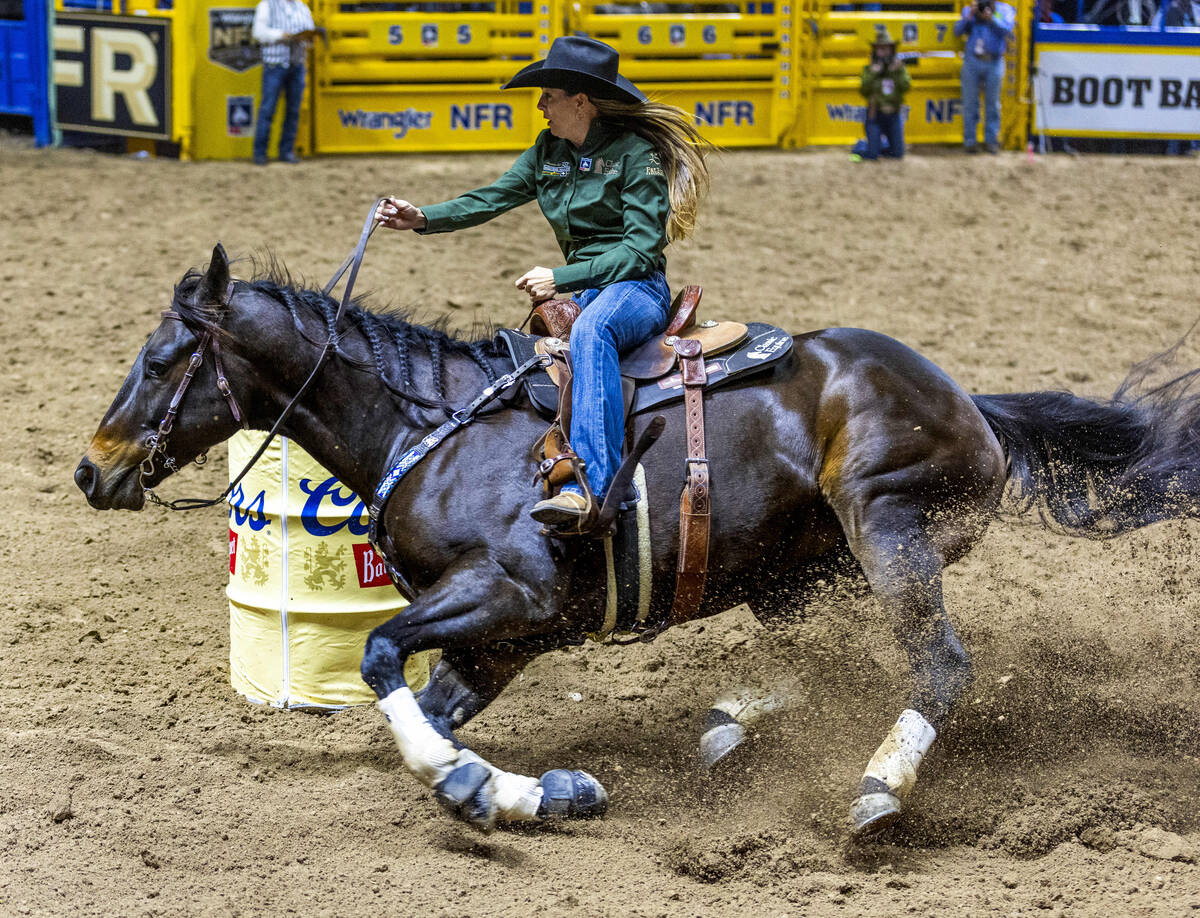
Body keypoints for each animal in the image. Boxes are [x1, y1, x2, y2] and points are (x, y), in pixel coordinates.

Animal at [72, 247, 1200, 835]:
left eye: (164, 357)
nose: (91, 468)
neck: (432, 426)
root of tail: (975, 405)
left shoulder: (512, 596)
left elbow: (383, 655)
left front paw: (464, 782)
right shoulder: (506, 640)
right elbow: (427, 703)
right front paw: (527, 790)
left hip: (886, 527)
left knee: (942, 663)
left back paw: (877, 788)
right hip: (800, 570)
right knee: (813, 660)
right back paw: (731, 728)